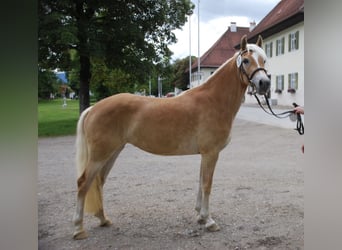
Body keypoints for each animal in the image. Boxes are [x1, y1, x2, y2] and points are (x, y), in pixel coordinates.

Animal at [72, 34, 270, 239]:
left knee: (99, 182)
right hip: (100, 155)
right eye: (246, 60)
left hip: (112, 153)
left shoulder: (205, 154)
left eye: (264, 60)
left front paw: (200, 216)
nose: (264, 83)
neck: (213, 100)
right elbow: (207, 184)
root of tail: (93, 108)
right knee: (83, 183)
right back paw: (79, 228)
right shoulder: (211, 153)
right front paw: (209, 221)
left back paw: (103, 219)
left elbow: (200, 182)